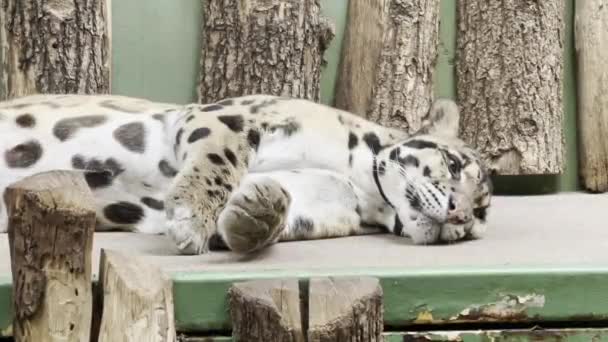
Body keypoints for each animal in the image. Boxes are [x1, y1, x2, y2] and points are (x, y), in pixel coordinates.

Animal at [0, 93, 492, 254]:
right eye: (453, 165)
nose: (458, 215)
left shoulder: (324, 200)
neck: (366, 188)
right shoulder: (230, 117)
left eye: (479, 217)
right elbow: (220, 161)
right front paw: (191, 214)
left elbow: (286, 210)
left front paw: (256, 215)